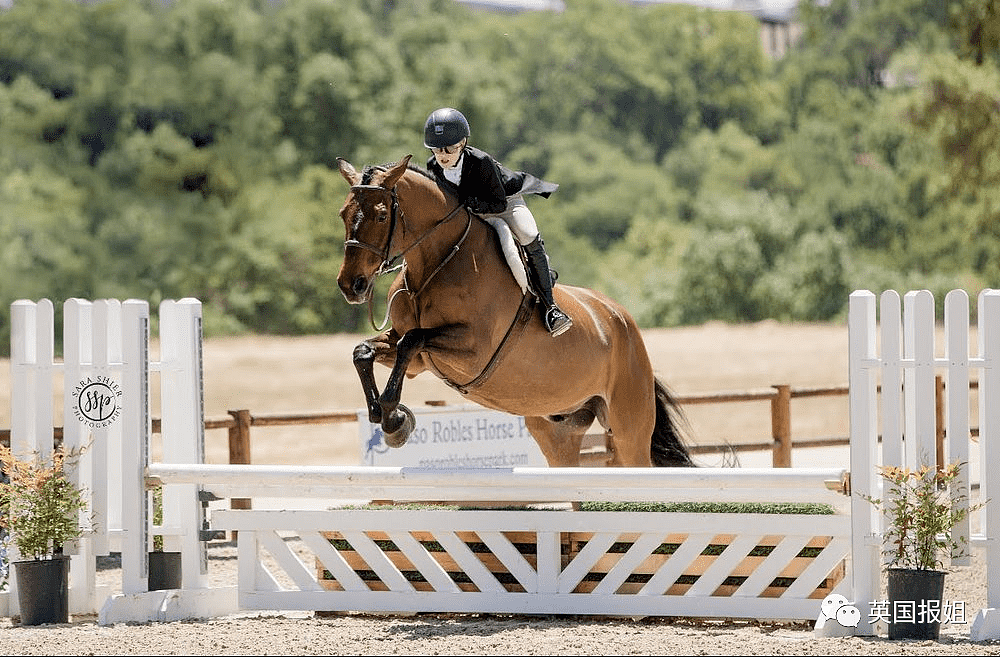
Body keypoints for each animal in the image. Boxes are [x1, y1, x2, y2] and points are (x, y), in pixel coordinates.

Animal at [340, 154, 692, 466]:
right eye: (344, 213)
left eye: (382, 216)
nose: (350, 286)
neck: (437, 263)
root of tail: (621, 319)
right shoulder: (418, 362)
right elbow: (366, 351)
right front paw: (384, 414)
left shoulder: (473, 352)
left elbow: (410, 340)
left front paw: (395, 419)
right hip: (558, 428)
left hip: (628, 425)